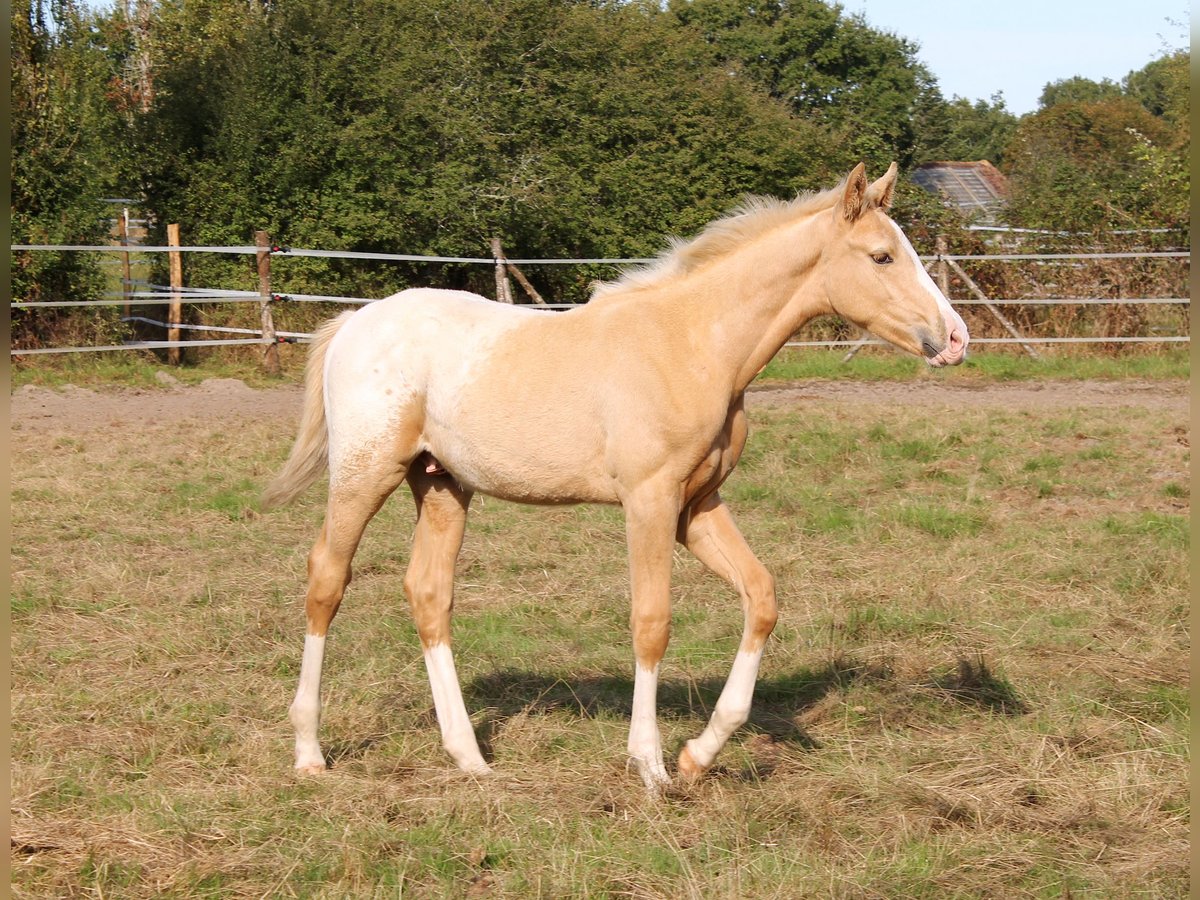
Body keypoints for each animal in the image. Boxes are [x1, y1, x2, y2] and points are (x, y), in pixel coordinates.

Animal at [265, 164, 974, 787]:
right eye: (882, 256)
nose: (956, 338)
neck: (692, 342)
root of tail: (354, 321)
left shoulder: (697, 504)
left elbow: (762, 597)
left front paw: (697, 757)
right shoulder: (649, 499)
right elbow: (651, 622)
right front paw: (651, 765)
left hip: (441, 483)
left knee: (428, 594)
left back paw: (469, 758)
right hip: (365, 472)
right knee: (327, 579)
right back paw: (309, 753)